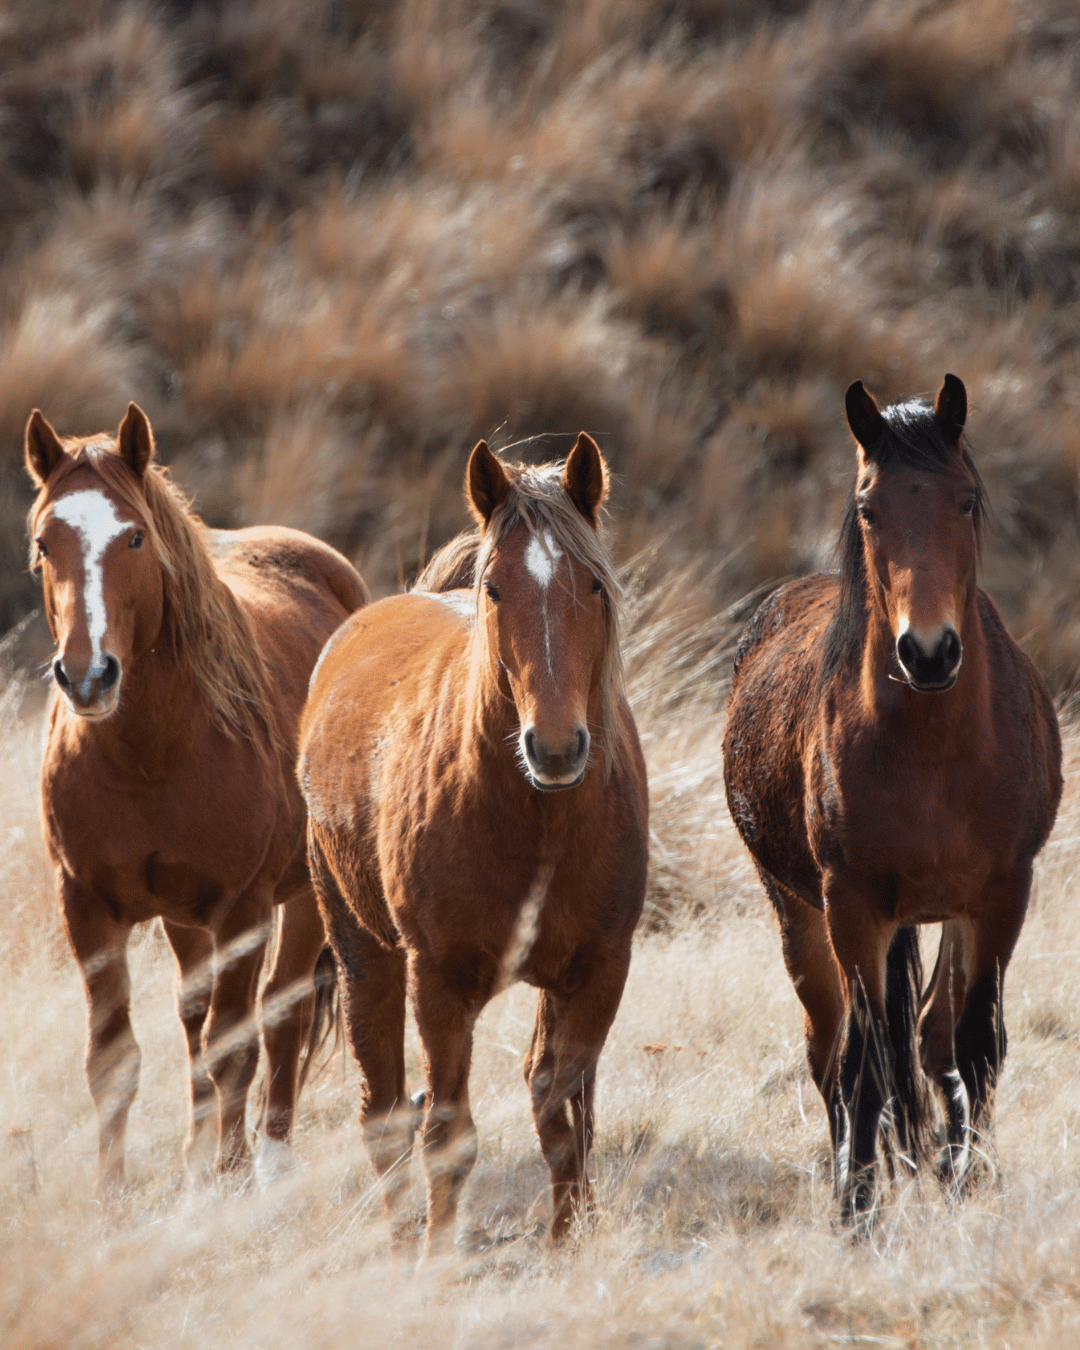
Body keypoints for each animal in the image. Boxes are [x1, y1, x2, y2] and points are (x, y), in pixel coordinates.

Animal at [25, 403, 369, 1192]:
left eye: (134, 537)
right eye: (43, 542)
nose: (87, 676)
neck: (150, 756)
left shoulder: (242, 908)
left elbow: (236, 1043)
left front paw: (231, 1176)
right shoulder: (85, 905)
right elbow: (114, 1058)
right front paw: (113, 1194)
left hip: (302, 897)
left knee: (280, 1013)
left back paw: (270, 1161)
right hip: (183, 919)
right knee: (194, 1015)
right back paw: (197, 1152)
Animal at [298, 432, 648, 1253]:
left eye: (593, 585)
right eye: (494, 589)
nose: (555, 747)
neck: (537, 821)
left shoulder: (599, 971)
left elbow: (563, 1112)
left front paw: (568, 1243)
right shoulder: (439, 980)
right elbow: (448, 1132)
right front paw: (435, 1258)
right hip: (365, 953)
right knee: (385, 1107)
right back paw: (400, 1239)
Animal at [723, 374, 1062, 1222]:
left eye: (966, 500)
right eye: (870, 507)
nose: (929, 651)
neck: (933, 751)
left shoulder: (1001, 894)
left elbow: (974, 1043)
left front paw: (968, 1182)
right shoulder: (853, 906)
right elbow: (867, 1060)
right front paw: (858, 1209)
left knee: (933, 1036)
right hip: (798, 911)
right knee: (832, 1050)